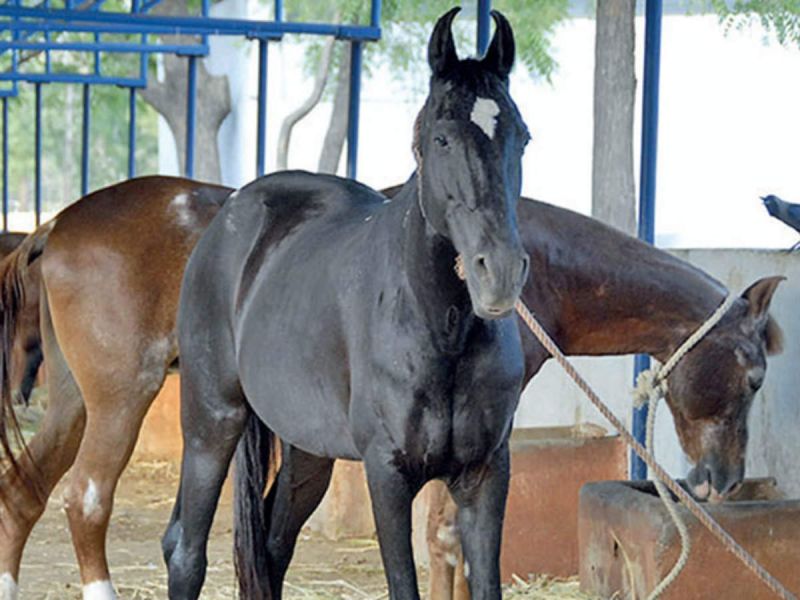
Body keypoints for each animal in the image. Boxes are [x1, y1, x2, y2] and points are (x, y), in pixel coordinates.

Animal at [163, 8, 530, 600]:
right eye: (442, 137)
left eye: (521, 136)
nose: (497, 273)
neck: (440, 327)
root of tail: (231, 215)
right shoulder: (387, 474)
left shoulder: (485, 475)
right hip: (211, 420)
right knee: (185, 551)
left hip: (307, 450)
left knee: (271, 549)